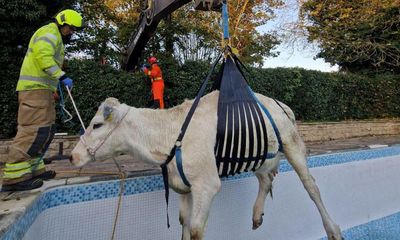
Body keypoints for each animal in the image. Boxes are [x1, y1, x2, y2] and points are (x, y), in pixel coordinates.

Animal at [70, 90, 342, 240]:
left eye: (96, 125)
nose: (73, 156)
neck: (168, 136)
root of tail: (279, 103)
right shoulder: (183, 184)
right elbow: (183, 221)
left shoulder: (207, 185)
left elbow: (196, 230)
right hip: (258, 155)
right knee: (266, 180)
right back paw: (256, 216)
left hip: (292, 142)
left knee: (311, 186)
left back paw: (333, 230)